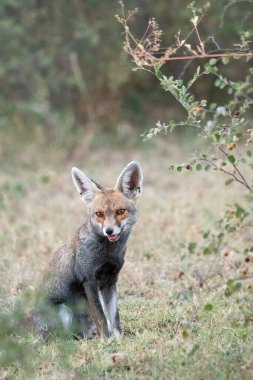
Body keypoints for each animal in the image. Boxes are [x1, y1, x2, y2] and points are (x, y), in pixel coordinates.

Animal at [34, 162, 142, 340]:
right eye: (99, 214)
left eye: (120, 211)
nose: (109, 231)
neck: (107, 255)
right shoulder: (89, 281)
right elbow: (102, 318)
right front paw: (106, 341)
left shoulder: (110, 282)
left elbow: (114, 318)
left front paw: (119, 340)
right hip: (64, 311)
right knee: (62, 338)